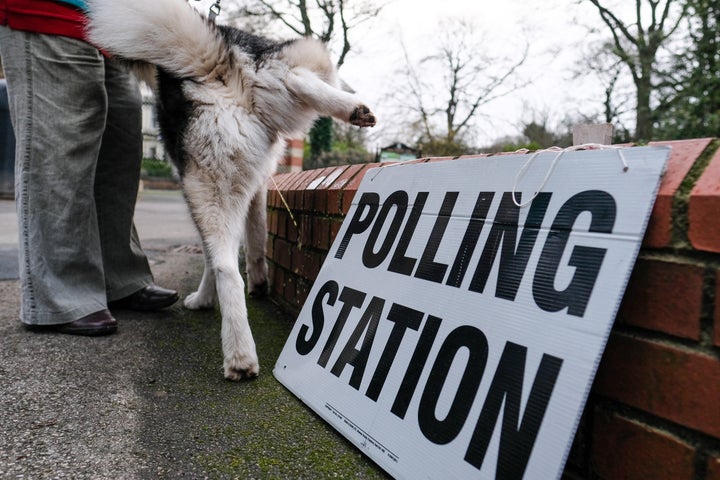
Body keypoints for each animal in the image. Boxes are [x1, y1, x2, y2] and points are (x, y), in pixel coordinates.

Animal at [85, 0, 376, 382]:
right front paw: (259, 282)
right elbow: (255, 237)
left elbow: (216, 257)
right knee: (295, 77)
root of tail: (218, 68)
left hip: (206, 189)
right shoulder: (256, 186)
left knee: (224, 266)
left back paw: (238, 356)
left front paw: (205, 299)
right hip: (287, 71)